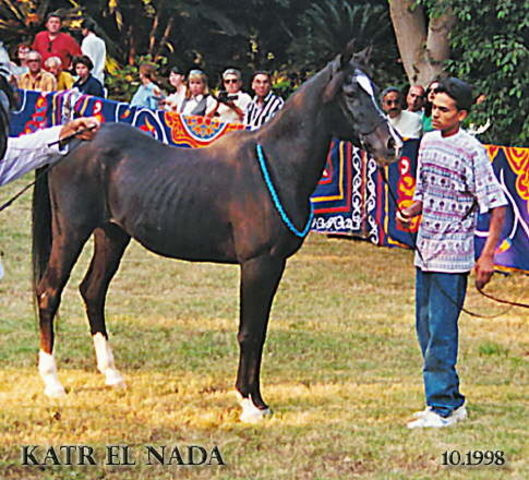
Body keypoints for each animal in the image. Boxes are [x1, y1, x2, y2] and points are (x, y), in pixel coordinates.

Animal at [32, 48, 400, 422]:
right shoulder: (257, 264)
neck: (275, 164)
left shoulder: (274, 265)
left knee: (92, 291)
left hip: (112, 234)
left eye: (377, 90)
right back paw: (53, 383)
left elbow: (260, 331)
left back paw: (112, 374)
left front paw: (260, 402)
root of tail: (69, 141)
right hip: (71, 233)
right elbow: (249, 332)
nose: (392, 145)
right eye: (351, 93)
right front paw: (248, 404)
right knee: (49, 292)